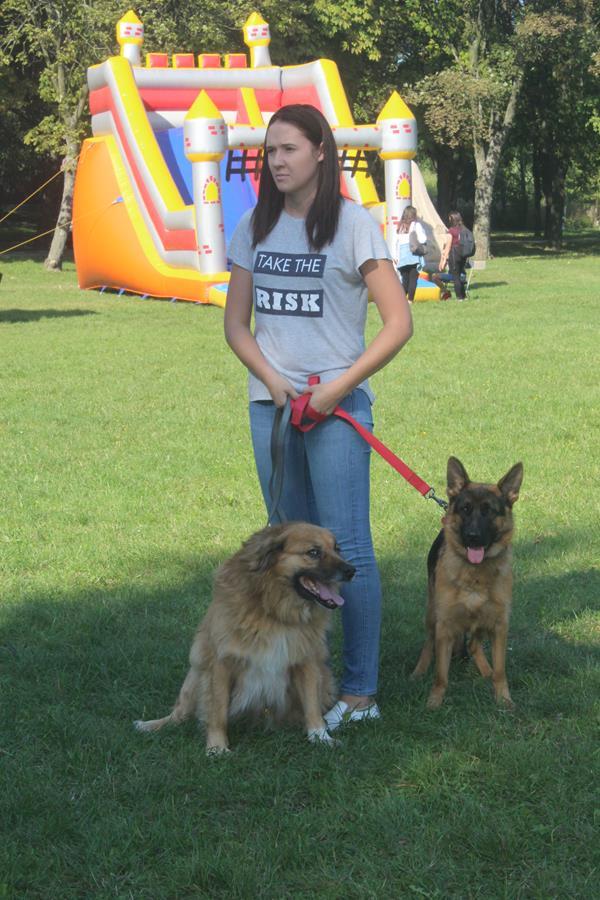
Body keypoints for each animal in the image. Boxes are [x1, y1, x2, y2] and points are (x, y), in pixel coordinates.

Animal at [134, 522, 354, 753]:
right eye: (313, 552)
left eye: (337, 549)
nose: (352, 571)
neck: (273, 609)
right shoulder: (221, 663)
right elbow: (217, 711)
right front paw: (217, 747)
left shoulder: (306, 661)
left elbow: (311, 704)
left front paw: (320, 736)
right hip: (196, 672)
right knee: (179, 712)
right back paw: (151, 725)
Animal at [411, 456, 523, 709]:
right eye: (465, 509)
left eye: (489, 512)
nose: (473, 536)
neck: (476, 574)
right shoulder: (445, 626)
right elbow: (441, 675)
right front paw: (434, 702)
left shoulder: (499, 625)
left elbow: (501, 671)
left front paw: (504, 699)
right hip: (432, 614)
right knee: (428, 643)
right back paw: (419, 670)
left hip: (482, 621)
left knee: (473, 645)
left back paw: (485, 670)